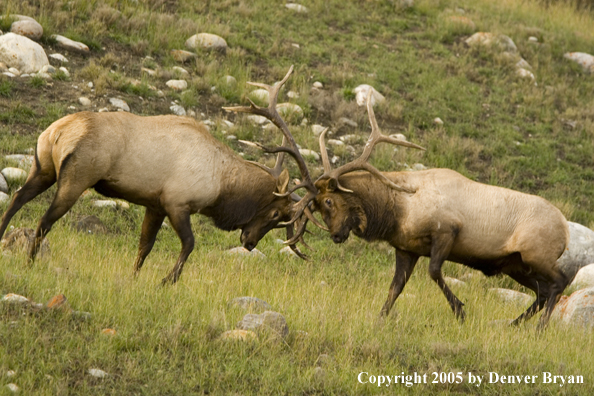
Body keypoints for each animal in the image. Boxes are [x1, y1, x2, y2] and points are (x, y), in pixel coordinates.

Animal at [0, 66, 312, 284]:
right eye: (277, 214)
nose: (250, 243)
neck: (221, 187)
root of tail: (58, 130)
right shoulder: (177, 202)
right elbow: (189, 243)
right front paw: (167, 280)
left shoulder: (155, 205)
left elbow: (144, 246)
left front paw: (134, 278)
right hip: (76, 178)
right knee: (44, 221)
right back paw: (30, 263)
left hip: (43, 168)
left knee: (16, 199)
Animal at [310, 93, 568, 328]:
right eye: (316, 206)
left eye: (329, 201)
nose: (335, 235)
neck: (398, 211)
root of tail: (565, 230)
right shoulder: (406, 249)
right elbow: (395, 288)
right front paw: (379, 320)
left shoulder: (447, 230)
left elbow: (433, 271)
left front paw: (460, 311)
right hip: (516, 264)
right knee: (543, 291)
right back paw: (514, 324)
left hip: (536, 254)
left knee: (559, 282)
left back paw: (540, 328)